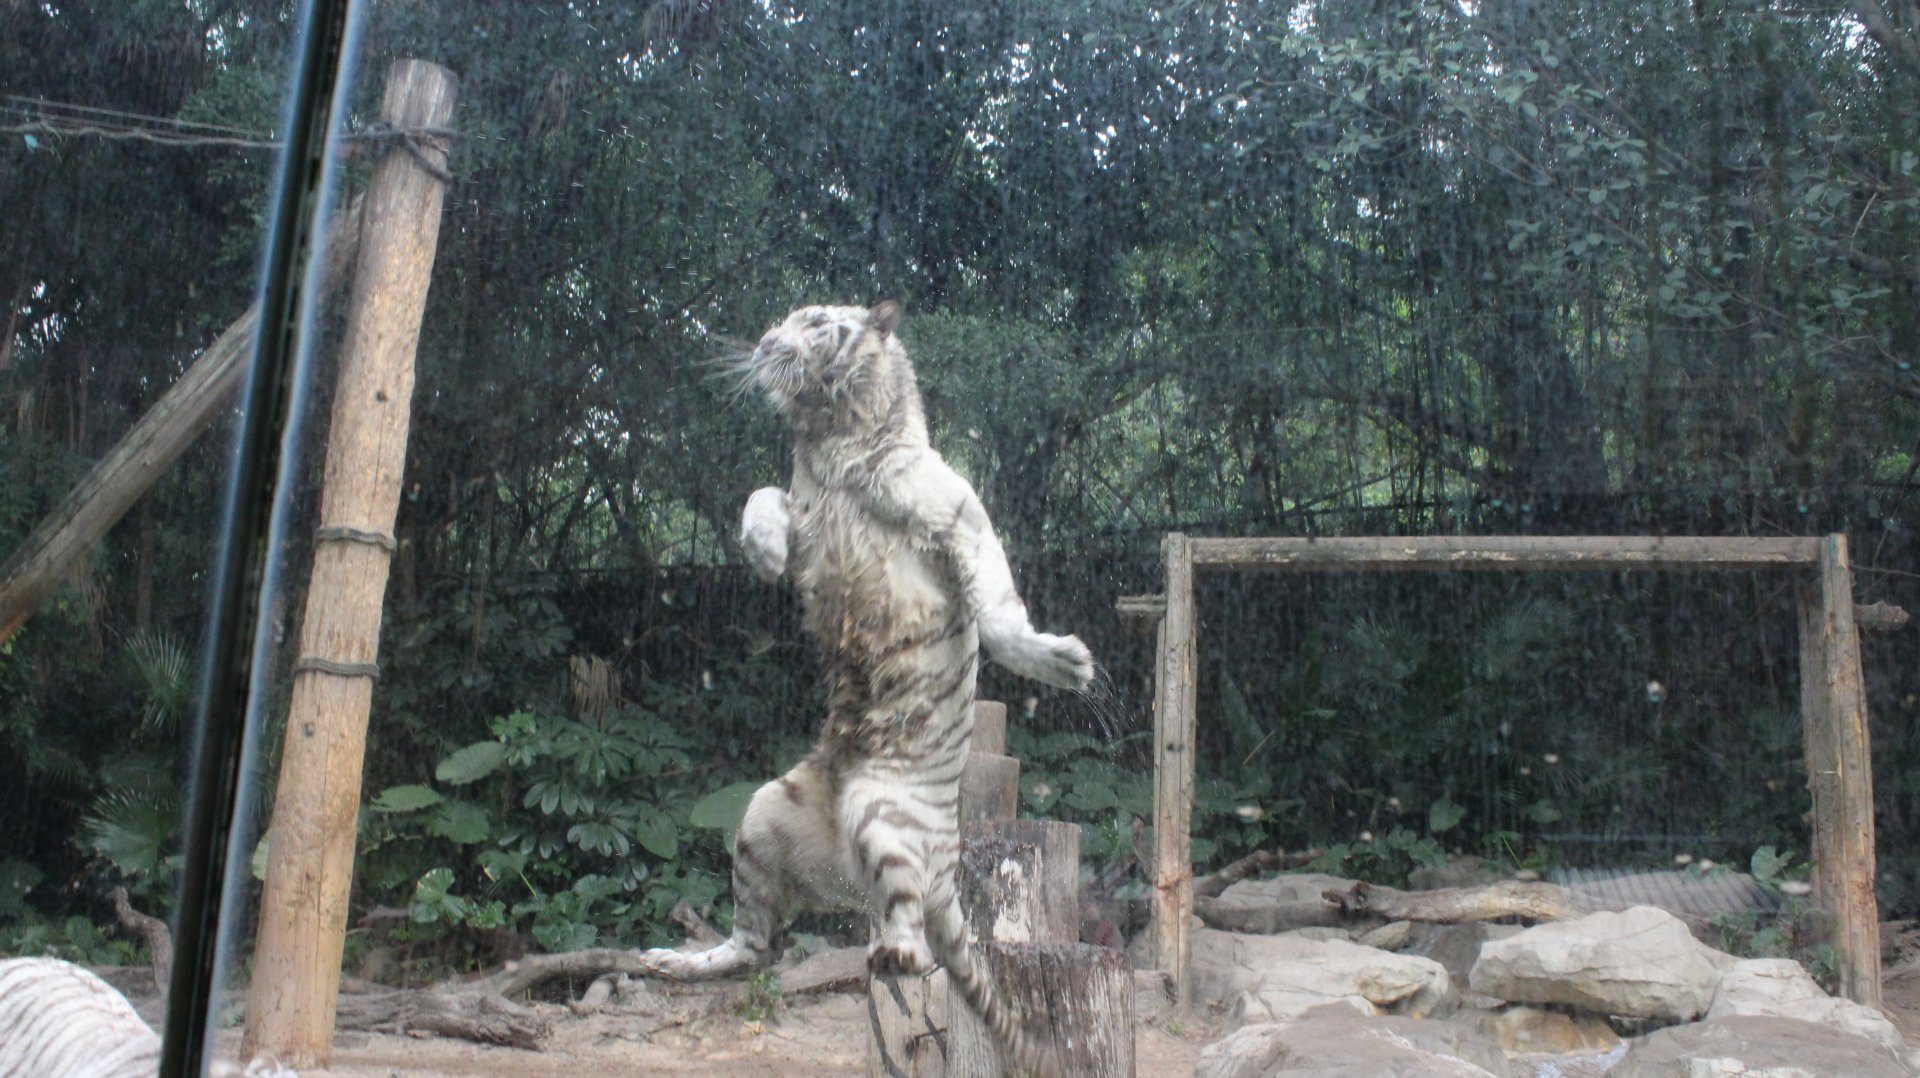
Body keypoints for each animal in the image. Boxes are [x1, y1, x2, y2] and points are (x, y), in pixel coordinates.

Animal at [639, 300, 1093, 1074]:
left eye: (815, 320)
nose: (764, 342)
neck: (832, 439)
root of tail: (949, 869)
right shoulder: (804, 508)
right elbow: (760, 495)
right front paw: (761, 550)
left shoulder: (958, 516)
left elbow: (1000, 611)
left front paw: (1064, 662)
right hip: (762, 815)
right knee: (757, 946)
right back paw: (675, 961)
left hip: (882, 811)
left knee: (899, 917)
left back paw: (897, 952)